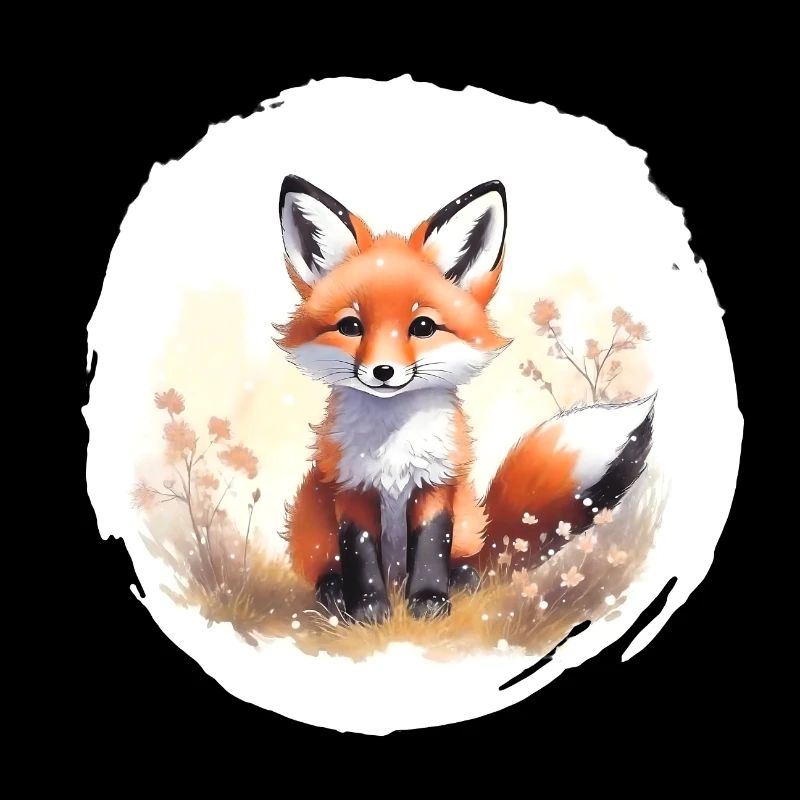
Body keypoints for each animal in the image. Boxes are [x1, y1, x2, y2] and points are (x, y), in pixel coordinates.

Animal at [276, 175, 654, 624]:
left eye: (423, 326)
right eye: (350, 326)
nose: (383, 372)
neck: (393, 445)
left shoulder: (437, 482)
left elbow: (430, 546)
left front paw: (428, 601)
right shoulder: (352, 487)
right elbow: (361, 553)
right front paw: (368, 609)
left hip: (469, 521)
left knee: (470, 561)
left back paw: (461, 580)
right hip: (310, 521)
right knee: (327, 568)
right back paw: (334, 593)